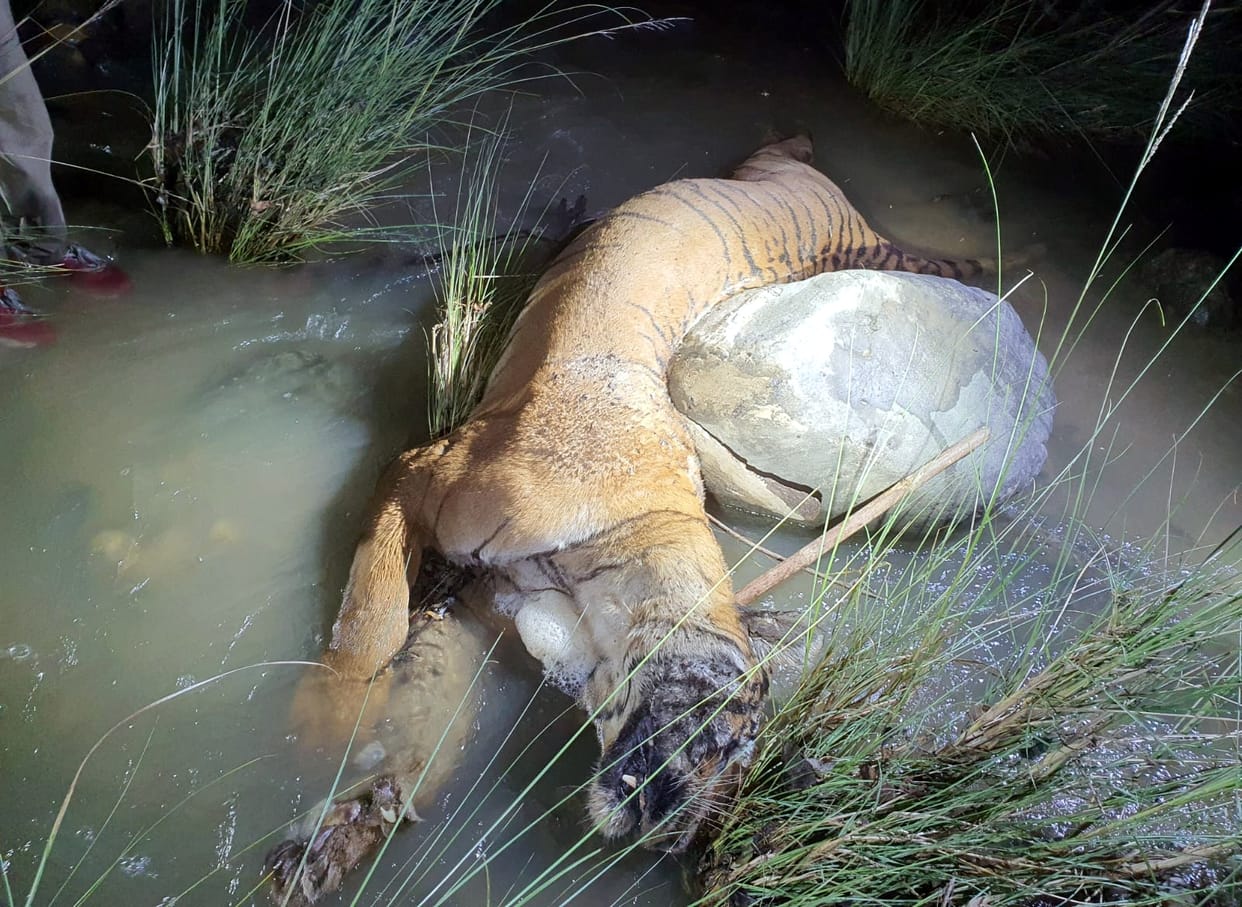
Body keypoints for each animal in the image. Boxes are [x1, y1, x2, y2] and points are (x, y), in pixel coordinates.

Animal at [274, 134, 987, 902]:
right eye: (721, 744)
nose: (684, 839)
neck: (608, 585)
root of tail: (845, 211)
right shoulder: (420, 471)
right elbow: (370, 620)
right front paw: (323, 718)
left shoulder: (486, 601)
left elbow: (425, 713)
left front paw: (347, 821)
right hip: (776, 179)